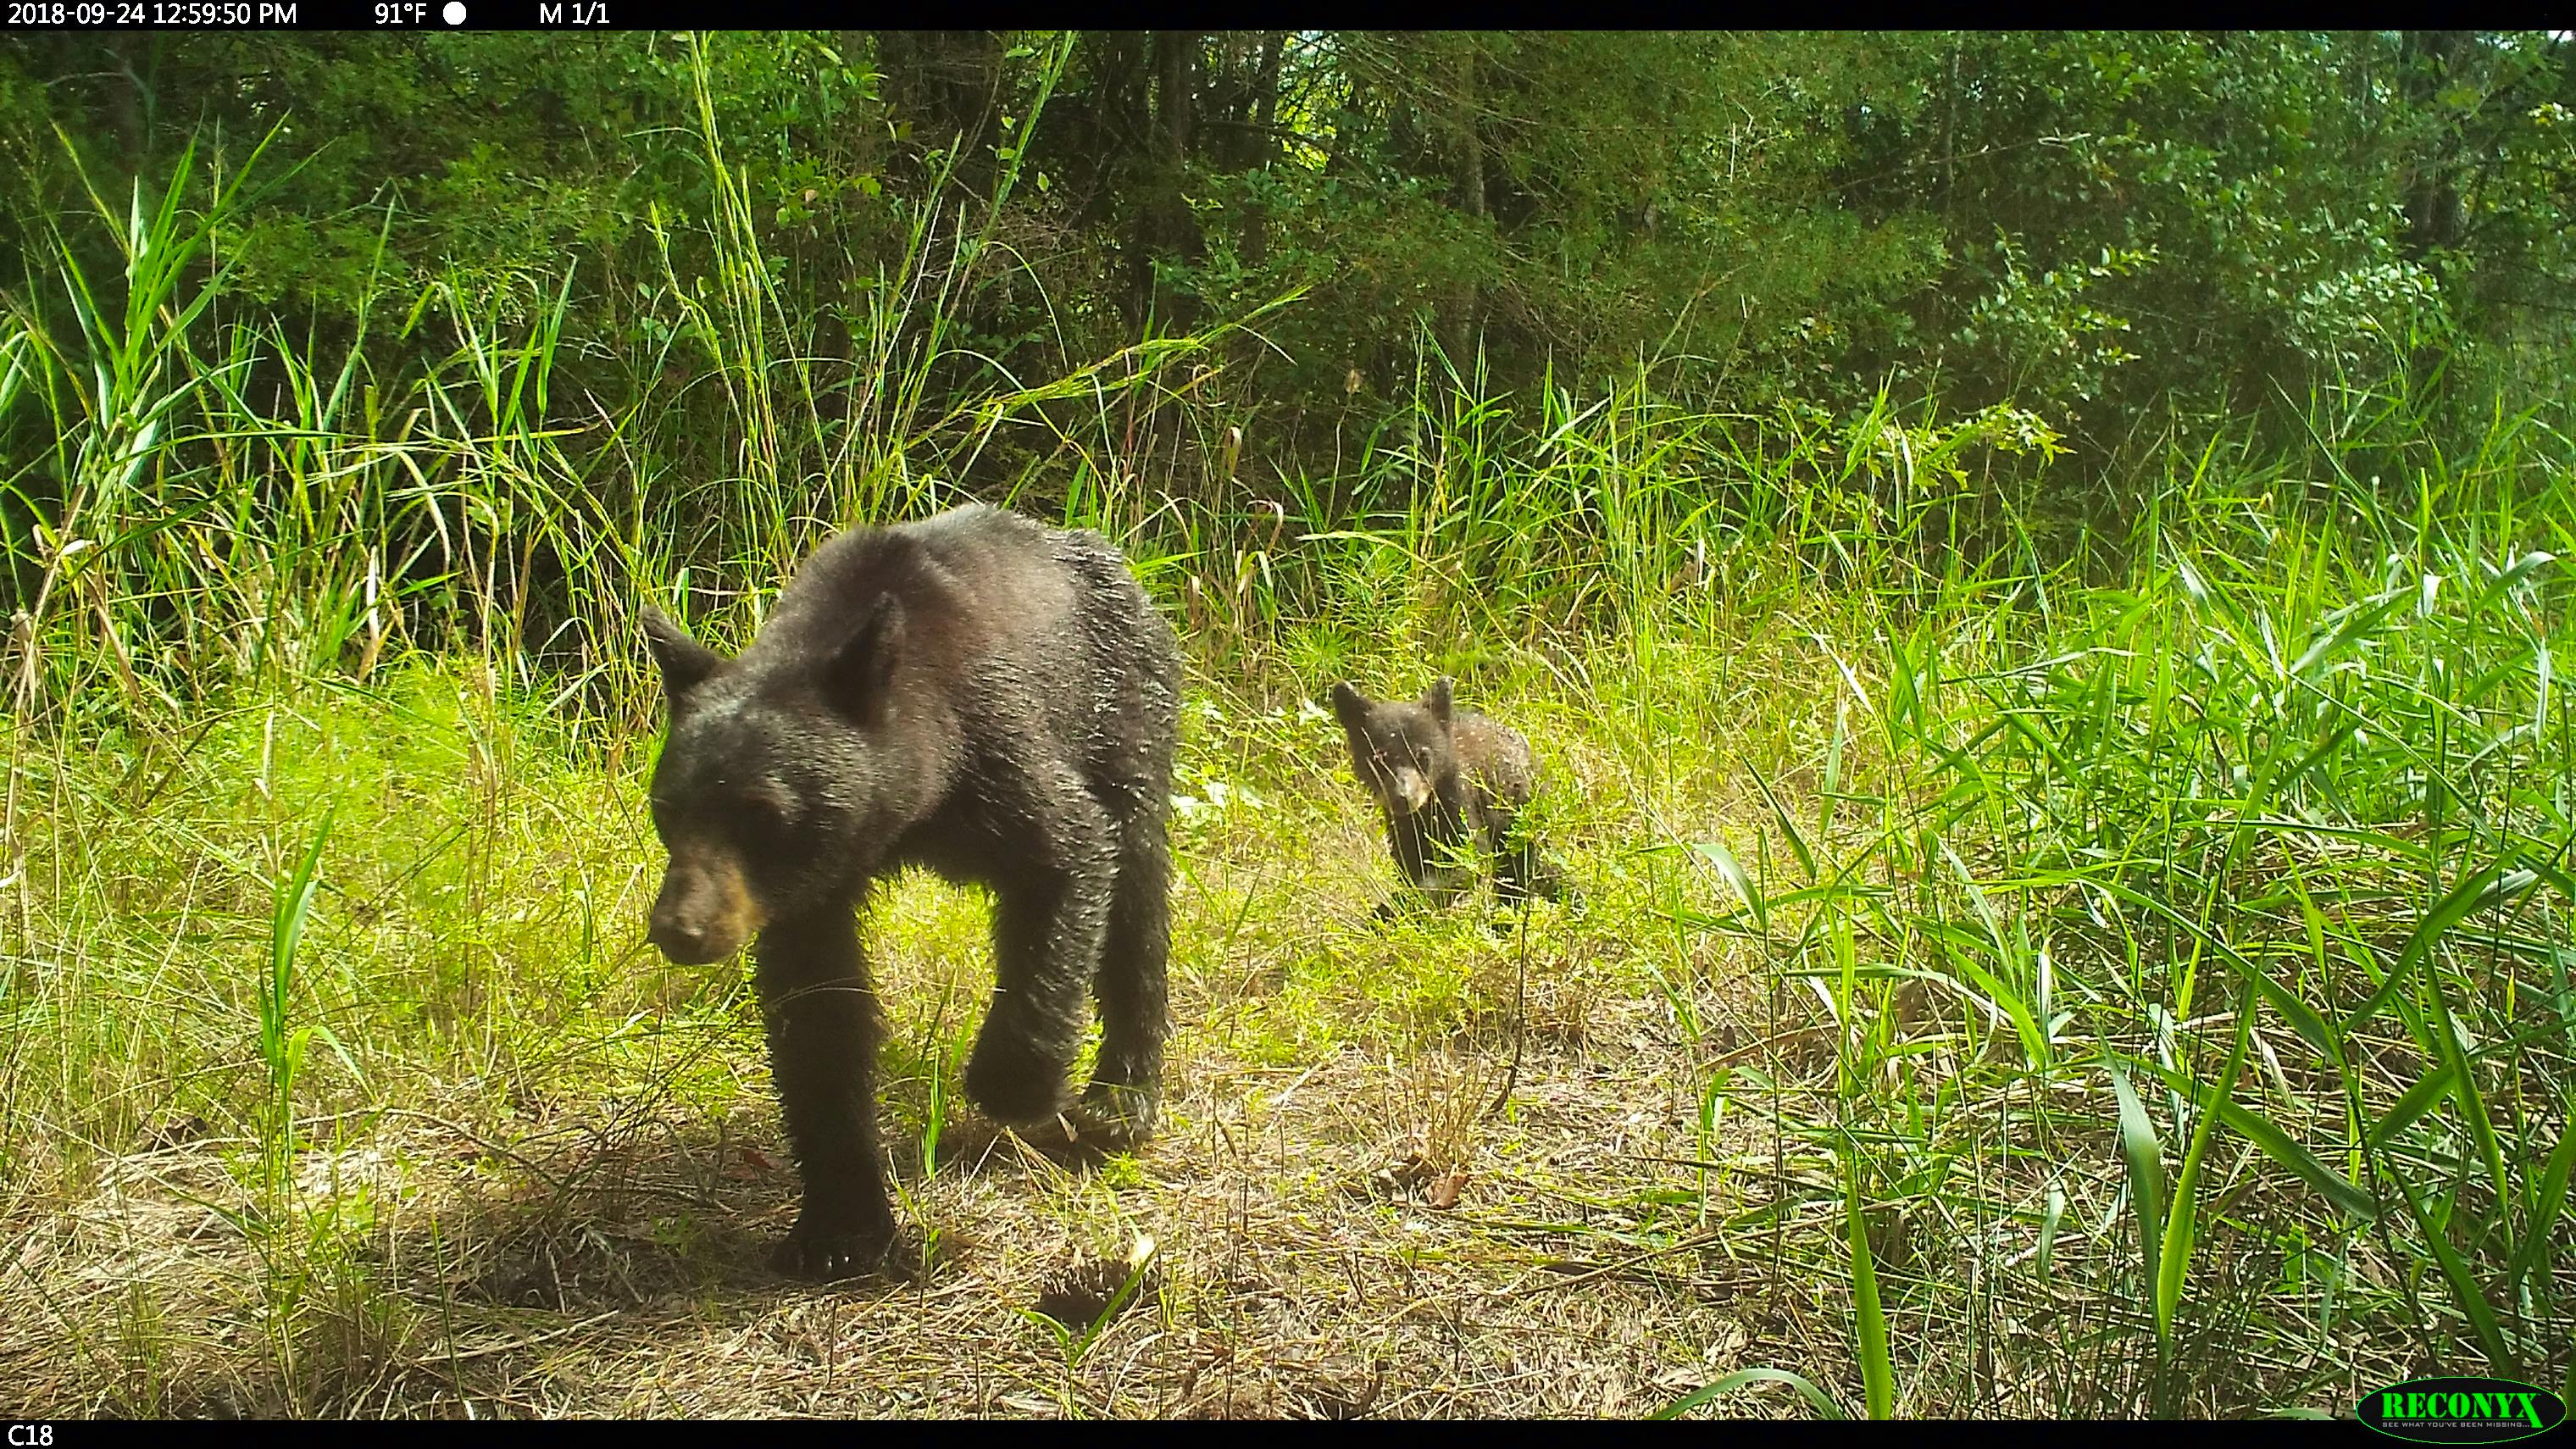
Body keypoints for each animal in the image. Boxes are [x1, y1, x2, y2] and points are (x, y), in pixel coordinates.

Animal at [639, 502, 1180, 1281]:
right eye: (666, 809)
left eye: (764, 812)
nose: (680, 928)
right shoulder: (810, 889)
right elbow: (819, 1015)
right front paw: (838, 1228)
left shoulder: (999, 746)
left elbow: (1069, 859)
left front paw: (1018, 1085)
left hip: (1123, 703)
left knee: (1137, 887)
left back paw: (1118, 1103)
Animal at [1330, 678, 1563, 916]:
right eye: (1378, 758)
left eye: (1422, 755)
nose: (1403, 797)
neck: (1425, 810)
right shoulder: (1403, 827)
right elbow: (1410, 863)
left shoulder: (1459, 800)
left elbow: (1465, 858)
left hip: (1520, 813)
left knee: (1525, 868)